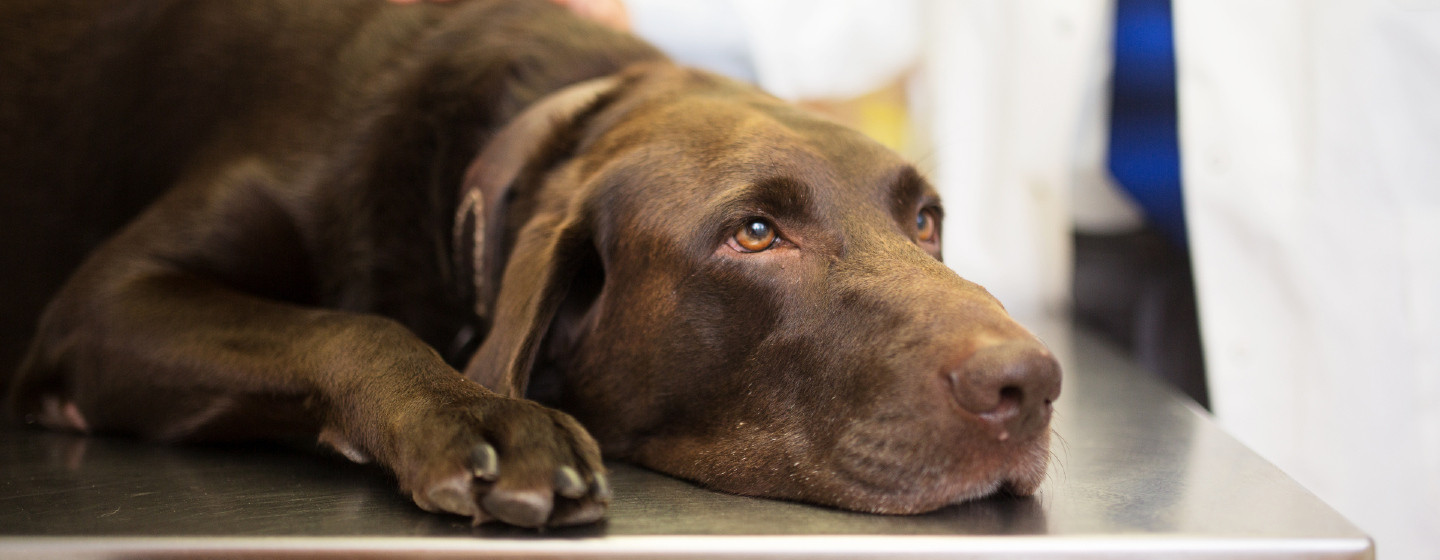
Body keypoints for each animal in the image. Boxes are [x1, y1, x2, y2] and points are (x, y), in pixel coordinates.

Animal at [0, 0, 1059, 526]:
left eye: (926, 221)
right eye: (755, 234)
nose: (1032, 383)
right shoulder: (102, 307)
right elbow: (353, 326)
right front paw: (481, 417)